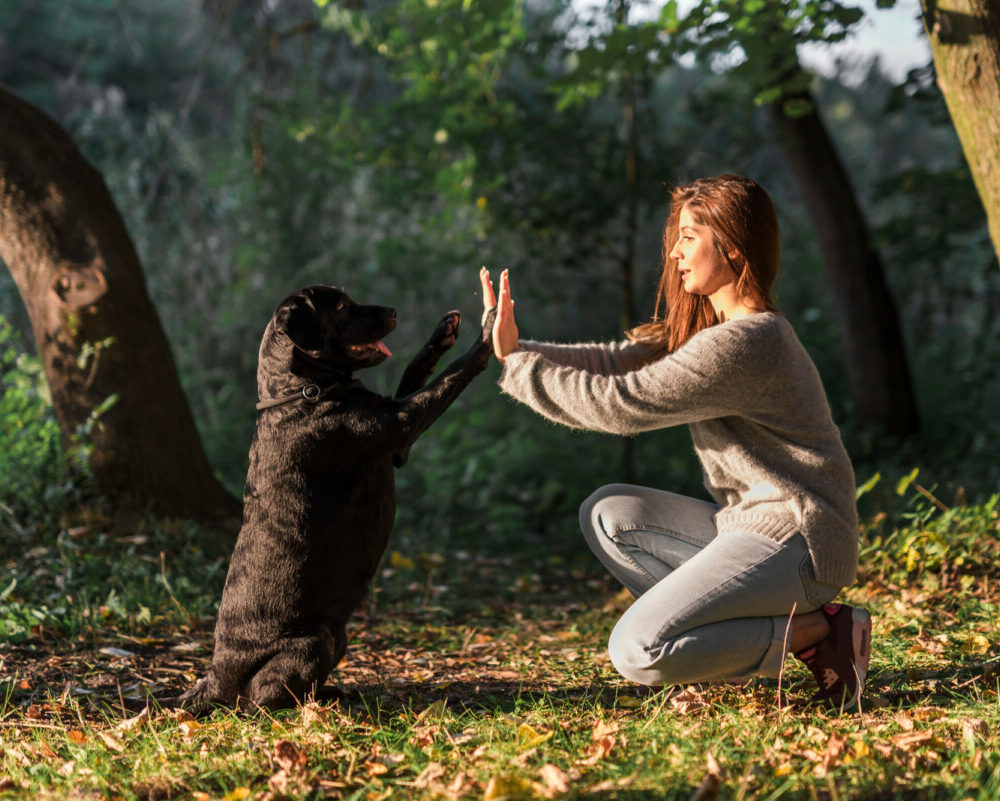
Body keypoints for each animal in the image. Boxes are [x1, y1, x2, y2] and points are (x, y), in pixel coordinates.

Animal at [181, 284, 496, 708]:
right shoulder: (402, 424)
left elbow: (414, 371)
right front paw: (489, 332)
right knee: (260, 700)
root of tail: (216, 678)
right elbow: (450, 377)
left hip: (337, 637)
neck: (302, 391)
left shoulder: (397, 447)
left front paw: (443, 333)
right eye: (344, 306)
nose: (393, 310)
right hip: (313, 643)